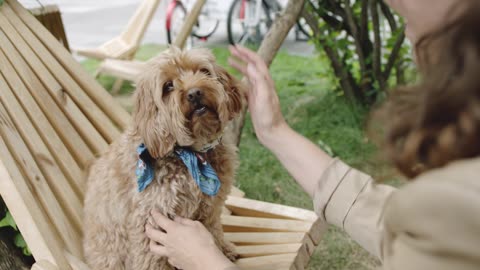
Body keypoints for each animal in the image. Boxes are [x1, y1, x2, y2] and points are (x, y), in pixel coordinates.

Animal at [83, 48, 246, 270]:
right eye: (168, 86)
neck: (190, 154)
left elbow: (213, 231)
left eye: (203, 71)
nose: (194, 93)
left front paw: (222, 249)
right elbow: (152, 260)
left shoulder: (210, 209)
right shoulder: (149, 220)